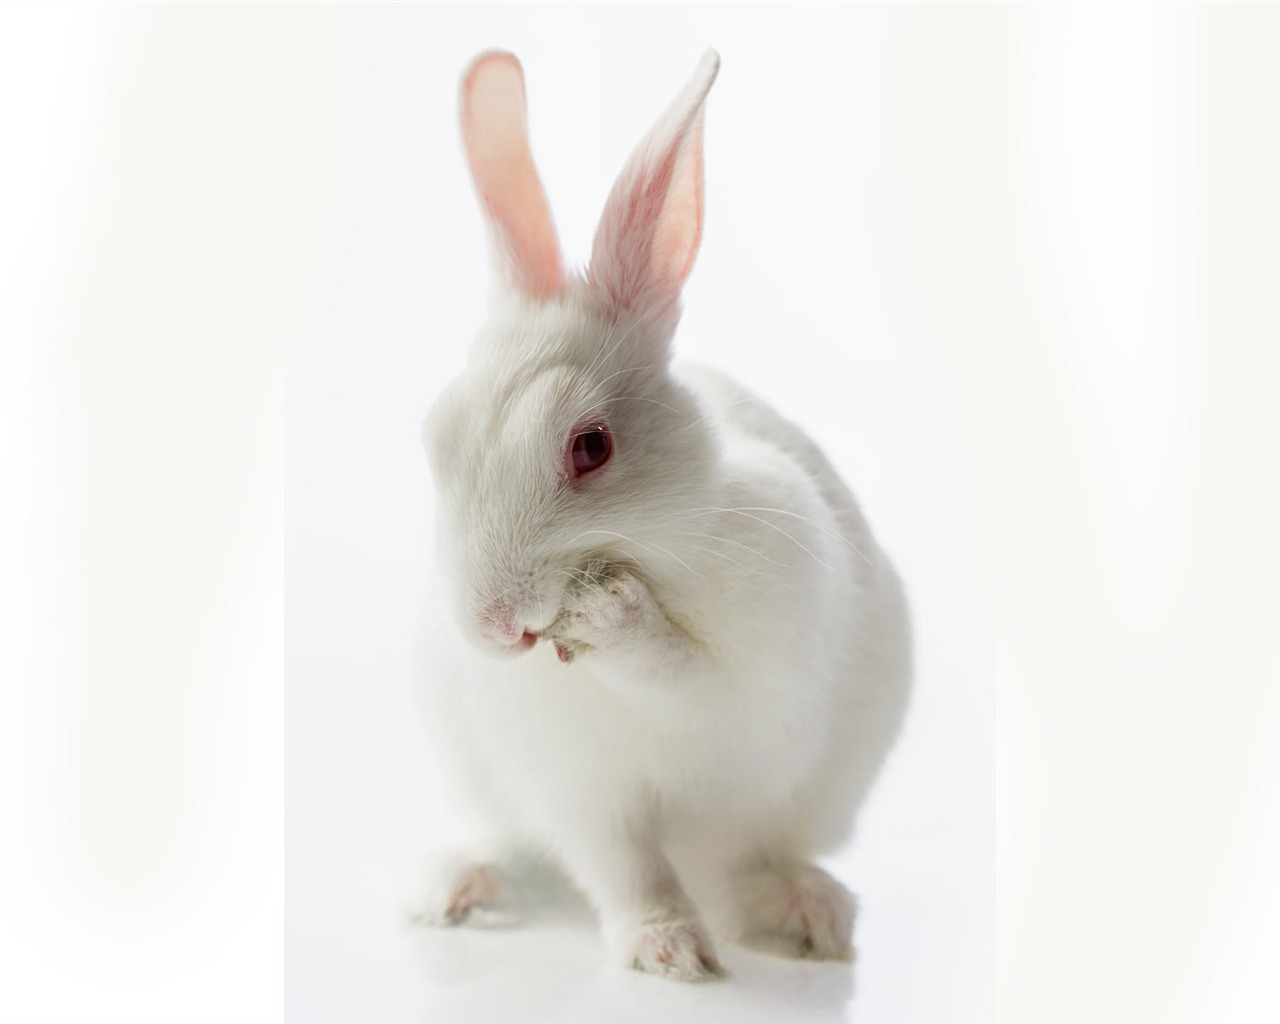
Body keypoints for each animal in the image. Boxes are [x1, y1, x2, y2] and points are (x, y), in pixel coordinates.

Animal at [409, 49, 912, 982]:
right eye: (436, 434)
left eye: (592, 447)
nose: (494, 625)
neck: (658, 544)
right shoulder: (578, 792)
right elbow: (626, 871)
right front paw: (668, 948)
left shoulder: (753, 688)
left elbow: (684, 672)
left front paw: (611, 615)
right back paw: (452, 886)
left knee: (746, 867)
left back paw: (811, 915)